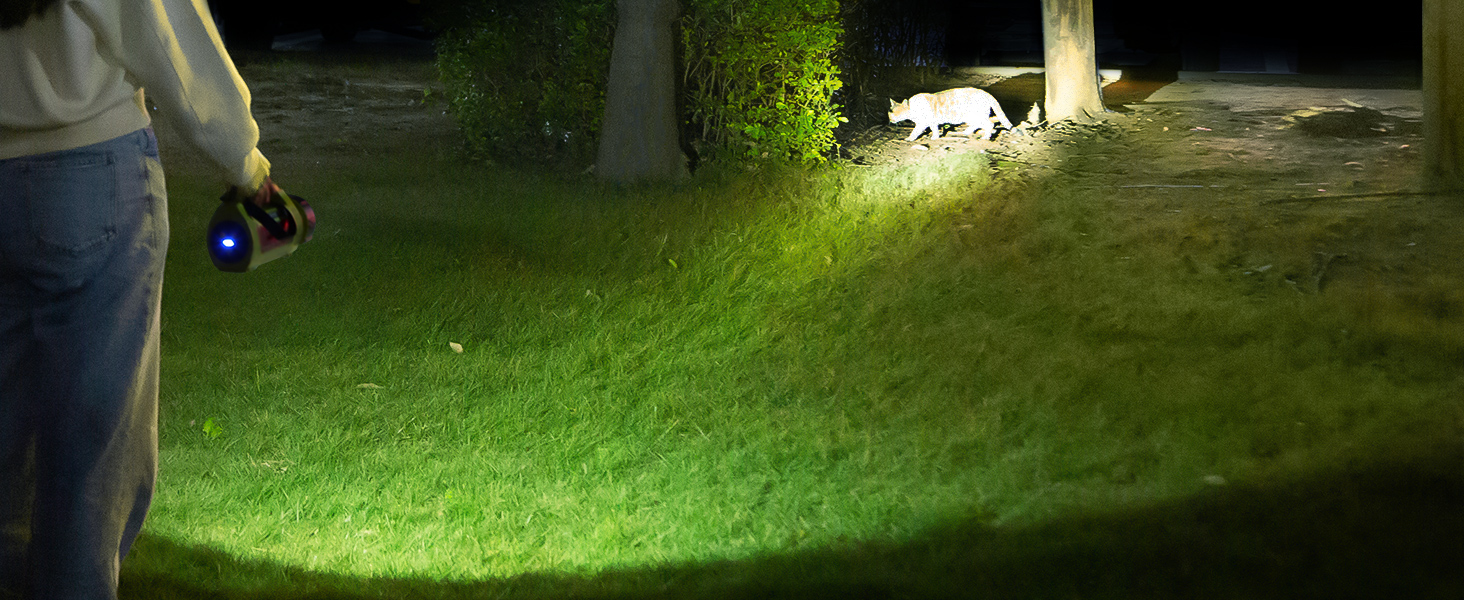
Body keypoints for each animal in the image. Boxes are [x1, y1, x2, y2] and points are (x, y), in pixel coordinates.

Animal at [884, 87, 1013, 141]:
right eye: (889, 112)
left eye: (893, 112)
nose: (889, 120)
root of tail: (986, 93)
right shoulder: (932, 122)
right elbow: (935, 129)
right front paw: (936, 137)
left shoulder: (923, 123)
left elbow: (915, 131)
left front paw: (910, 138)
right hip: (971, 117)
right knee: (977, 125)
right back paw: (966, 132)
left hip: (975, 115)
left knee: (989, 125)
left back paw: (986, 136)